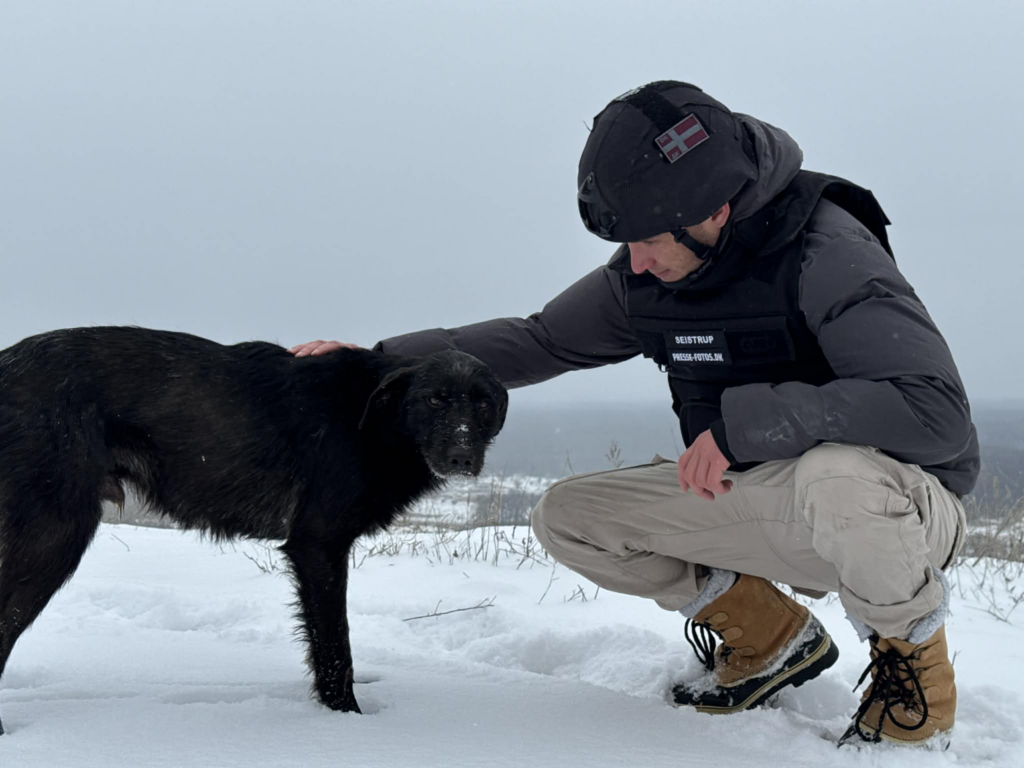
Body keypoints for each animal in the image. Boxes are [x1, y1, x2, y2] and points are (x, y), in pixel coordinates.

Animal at [0, 326, 508, 732]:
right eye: (435, 398)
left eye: (483, 404)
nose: (463, 458)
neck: (372, 417)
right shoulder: (318, 545)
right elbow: (335, 648)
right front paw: (346, 725)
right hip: (52, 539)